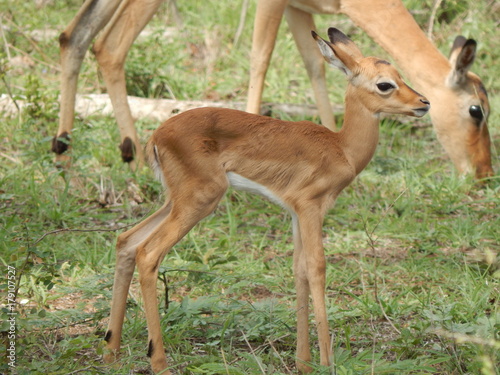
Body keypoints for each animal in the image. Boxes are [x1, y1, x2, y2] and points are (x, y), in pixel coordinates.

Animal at [52, 0, 490, 181]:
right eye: (476, 110)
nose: (484, 173)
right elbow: (260, 57)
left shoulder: (301, 9)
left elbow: (316, 65)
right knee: (110, 45)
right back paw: (127, 158)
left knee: (76, 34)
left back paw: (70, 153)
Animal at [102, 28, 430, 374]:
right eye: (385, 84)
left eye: (400, 75)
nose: (424, 103)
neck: (341, 148)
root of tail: (157, 136)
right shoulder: (311, 207)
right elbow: (317, 267)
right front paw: (326, 362)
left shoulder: (296, 213)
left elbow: (299, 269)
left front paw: (303, 362)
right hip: (199, 200)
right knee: (148, 253)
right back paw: (159, 361)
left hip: (174, 200)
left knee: (126, 241)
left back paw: (111, 351)